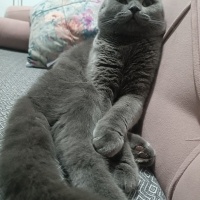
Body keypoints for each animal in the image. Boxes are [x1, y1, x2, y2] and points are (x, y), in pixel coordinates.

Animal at [0, 0, 166, 200]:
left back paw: (142, 151)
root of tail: (29, 97)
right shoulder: (101, 88)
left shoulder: (136, 92)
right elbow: (112, 122)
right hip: (84, 93)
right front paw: (121, 164)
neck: (128, 44)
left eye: (147, 3)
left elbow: (120, 113)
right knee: (78, 151)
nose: (134, 8)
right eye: (122, 2)